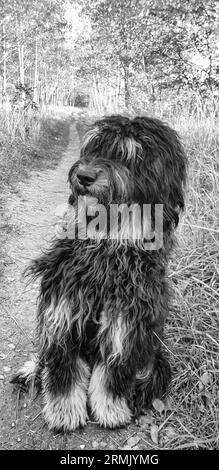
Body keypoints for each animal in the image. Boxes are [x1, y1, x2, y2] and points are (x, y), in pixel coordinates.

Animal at [12, 115, 186, 432]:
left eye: (130, 155)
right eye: (94, 148)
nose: (83, 176)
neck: (107, 248)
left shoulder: (125, 325)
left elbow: (112, 376)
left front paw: (111, 411)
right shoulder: (64, 315)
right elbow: (64, 374)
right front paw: (63, 414)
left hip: (156, 358)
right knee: (43, 363)